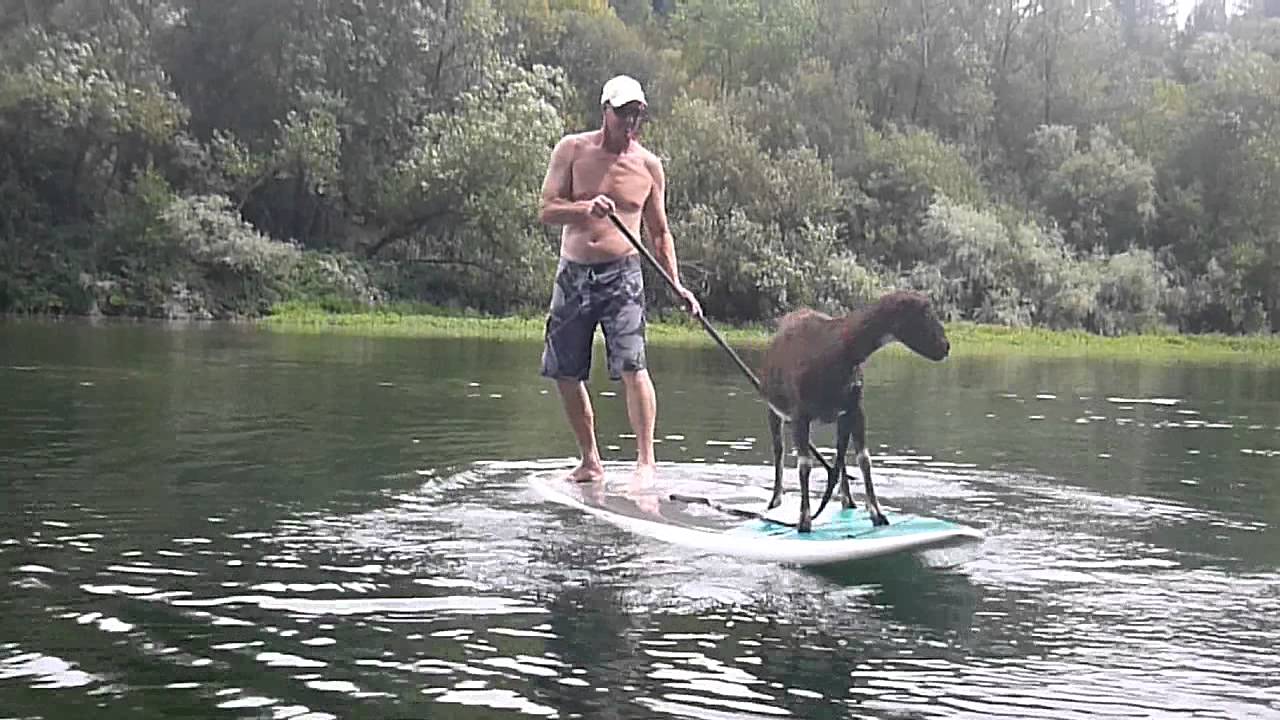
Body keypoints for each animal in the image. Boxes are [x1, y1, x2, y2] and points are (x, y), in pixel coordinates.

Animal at [758, 290, 950, 532]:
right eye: (924, 313)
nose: (946, 346)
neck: (836, 351)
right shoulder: (799, 413)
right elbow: (804, 465)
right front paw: (804, 520)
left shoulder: (855, 409)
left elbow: (863, 459)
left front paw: (877, 513)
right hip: (773, 409)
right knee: (779, 450)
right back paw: (775, 501)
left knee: (839, 457)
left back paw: (848, 500)